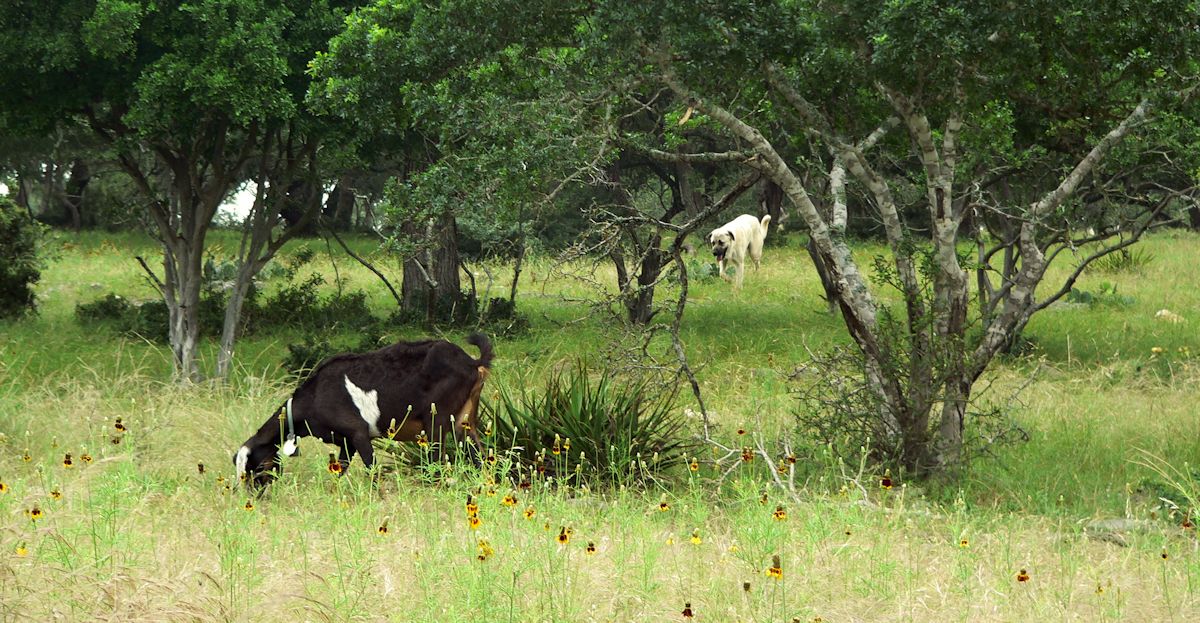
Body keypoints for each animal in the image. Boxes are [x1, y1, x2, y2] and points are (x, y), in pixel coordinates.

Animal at [231, 333, 494, 489]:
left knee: (438, 460)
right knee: (481, 457)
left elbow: (372, 469)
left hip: (436, 420)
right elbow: (339, 470)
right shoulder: (346, 442)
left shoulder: (358, 433)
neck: (314, 396)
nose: (254, 496)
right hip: (464, 420)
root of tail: (472, 362)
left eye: (258, 467)